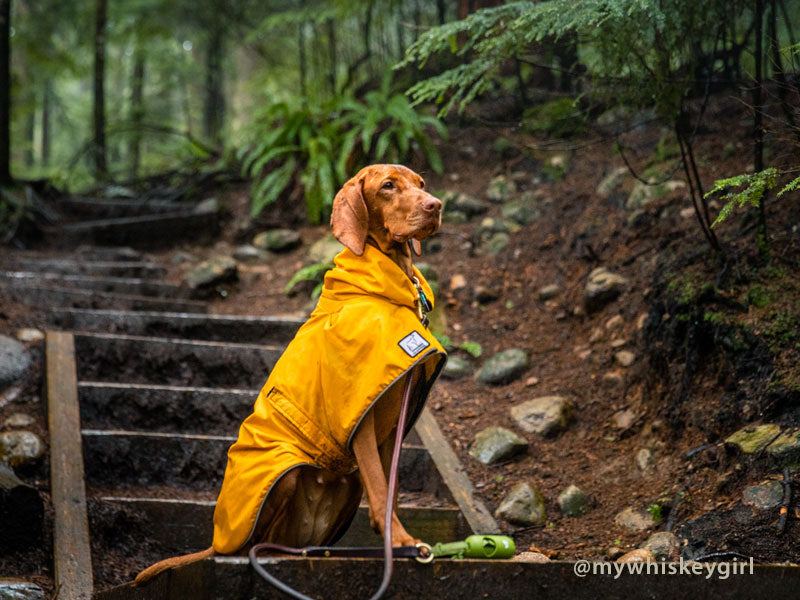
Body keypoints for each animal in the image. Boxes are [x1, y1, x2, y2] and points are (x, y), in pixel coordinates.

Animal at [138, 164, 450, 584]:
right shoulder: (360, 417)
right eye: (388, 186)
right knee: (254, 543)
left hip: (347, 482)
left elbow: (391, 489)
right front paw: (400, 543)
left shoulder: (396, 421)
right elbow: (380, 485)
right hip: (283, 474)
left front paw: (395, 542)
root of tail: (218, 545)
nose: (435, 205)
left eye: (421, 184)